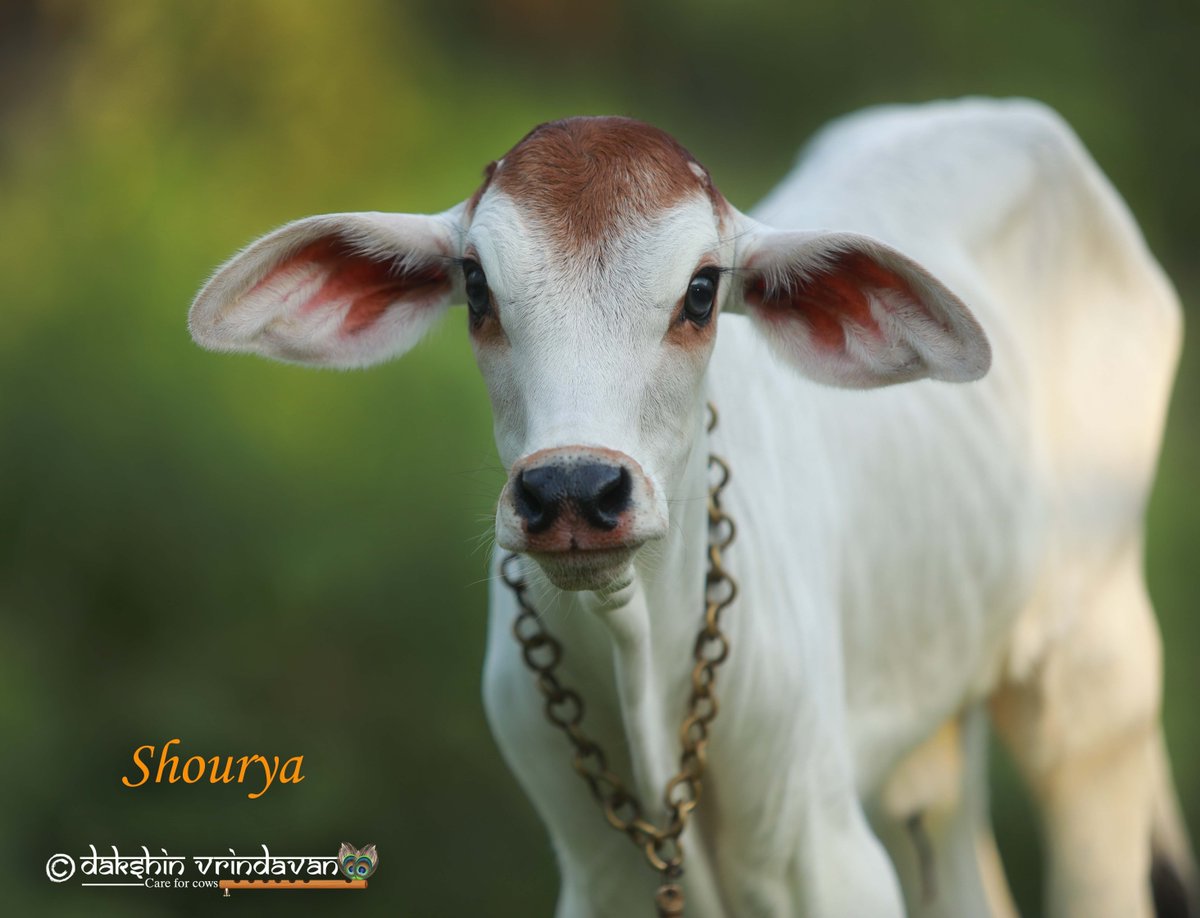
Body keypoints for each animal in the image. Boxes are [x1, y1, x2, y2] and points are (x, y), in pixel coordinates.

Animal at [189, 98, 1193, 917]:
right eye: (475, 285)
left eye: (703, 290)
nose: (572, 491)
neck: (640, 656)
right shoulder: (599, 879)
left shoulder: (827, 862)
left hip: (1098, 684)